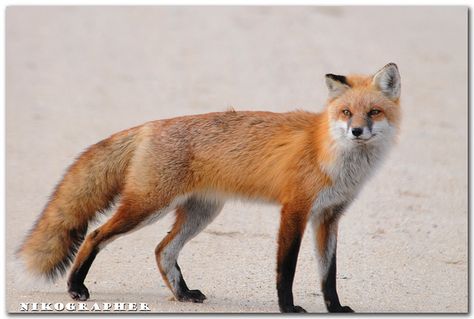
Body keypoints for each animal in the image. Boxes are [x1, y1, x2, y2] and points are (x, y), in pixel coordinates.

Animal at [16, 62, 400, 312]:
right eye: (346, 112)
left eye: (374, 112)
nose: (357, 131)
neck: (332, 155)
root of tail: (149, 125)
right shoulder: (295, 209)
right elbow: (286, 268)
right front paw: (288, 307)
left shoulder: (329, 216)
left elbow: (328, 273)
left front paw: (335, 308)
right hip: (147, 206)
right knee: (96, 235)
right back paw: (75, 287)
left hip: (201, 213)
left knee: (162, 250)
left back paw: (183, 295)